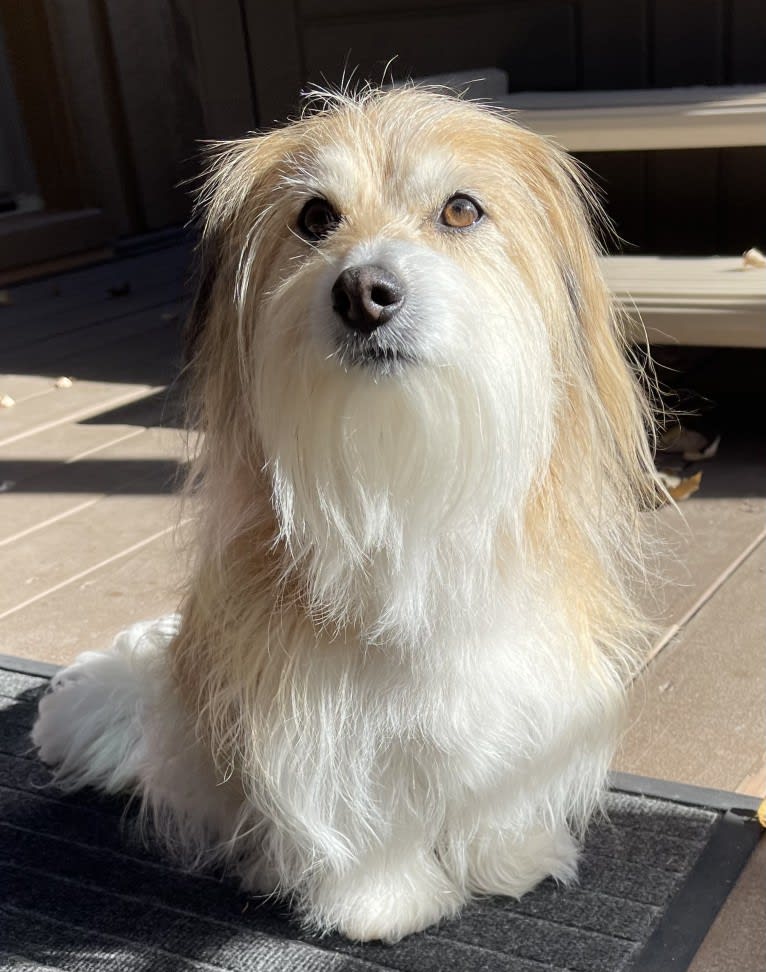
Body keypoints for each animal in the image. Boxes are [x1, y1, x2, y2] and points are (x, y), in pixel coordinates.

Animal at [33, 85, 660, 940]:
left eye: (461, 209)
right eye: (315, 216)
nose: (363, 292)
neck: (398, 480)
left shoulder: (517, 672)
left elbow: (496, 770)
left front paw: (508, 857)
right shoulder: (309, 707)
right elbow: (354, 802)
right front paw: (382, 902)